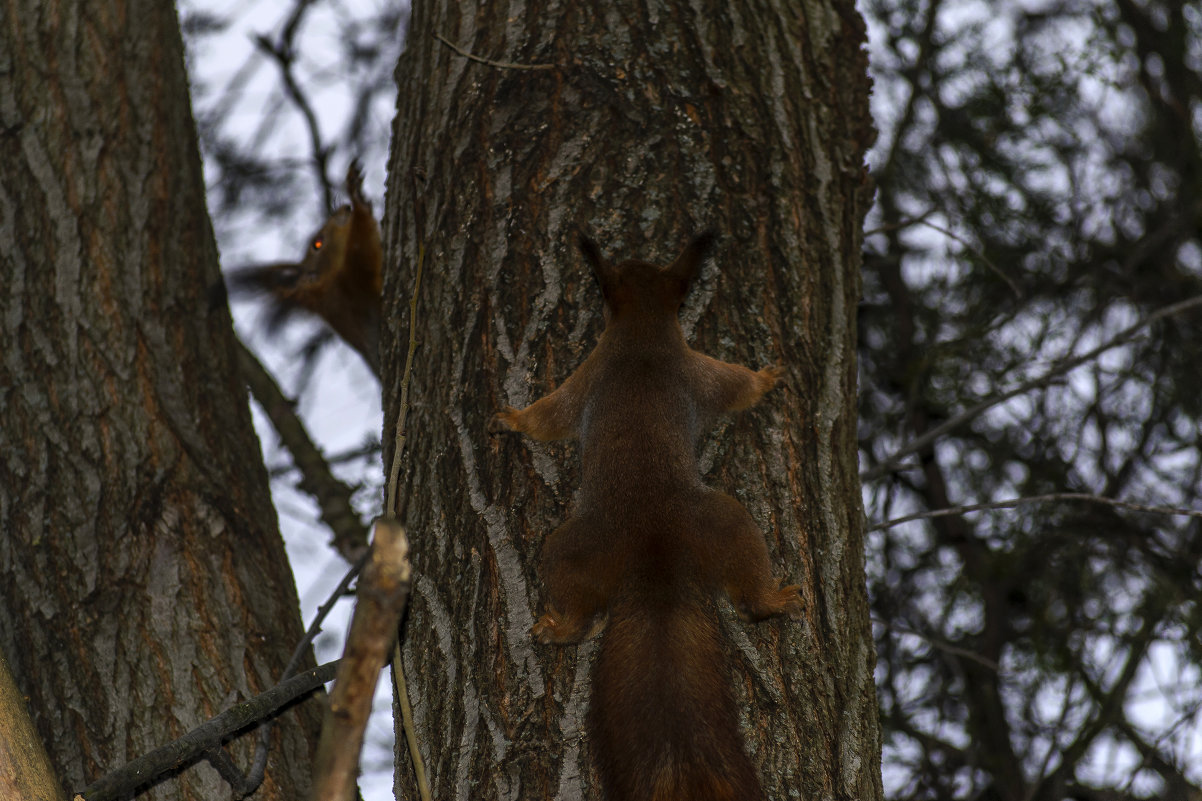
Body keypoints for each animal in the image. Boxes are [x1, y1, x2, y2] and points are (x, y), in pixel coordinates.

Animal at [488, 230, 798, 798]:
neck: (643, 330)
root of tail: (656, 548)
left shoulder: (594, 375)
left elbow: (549, 415)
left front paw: (511, 419)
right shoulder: (687, 369)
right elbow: (734, 388)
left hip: (584, 546)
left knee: (583, 604)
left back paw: (559, 628)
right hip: (727, 524)